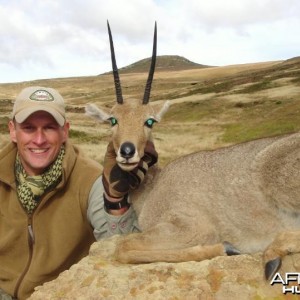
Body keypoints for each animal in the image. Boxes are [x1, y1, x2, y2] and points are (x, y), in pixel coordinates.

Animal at [85, 21, 300, 282]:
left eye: (149, 121)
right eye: (113, 119)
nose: (128, 151)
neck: (155, 186)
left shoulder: (192, 227)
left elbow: (123, 247)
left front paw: (226, 248)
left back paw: (271, 255)